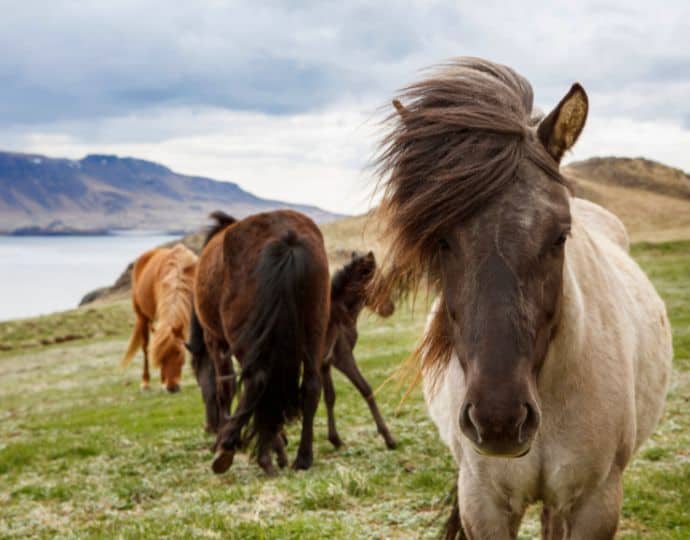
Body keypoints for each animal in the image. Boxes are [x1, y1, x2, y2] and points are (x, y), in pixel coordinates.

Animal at [119, 244, 196, 392]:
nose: (172, 388)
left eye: (178, 353)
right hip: (142, 317)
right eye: (161, 358)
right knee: (145, 348)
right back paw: (146, 382)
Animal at [188, 209, 328, 474]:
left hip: (248, 340)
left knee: (258, 381)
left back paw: (241, 452)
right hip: (314, 330)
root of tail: (287, 237)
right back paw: (302, 458)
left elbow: (225, 388)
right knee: (311, 385)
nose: (208, 425)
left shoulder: (216, 341)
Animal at [322, 251, 398, 450]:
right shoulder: (343, 358)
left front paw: (335, 439)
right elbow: (366, 389)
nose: (390, 308)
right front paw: (388, 438)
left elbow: (330, 396)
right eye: (379, 282)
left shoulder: (324, 364)